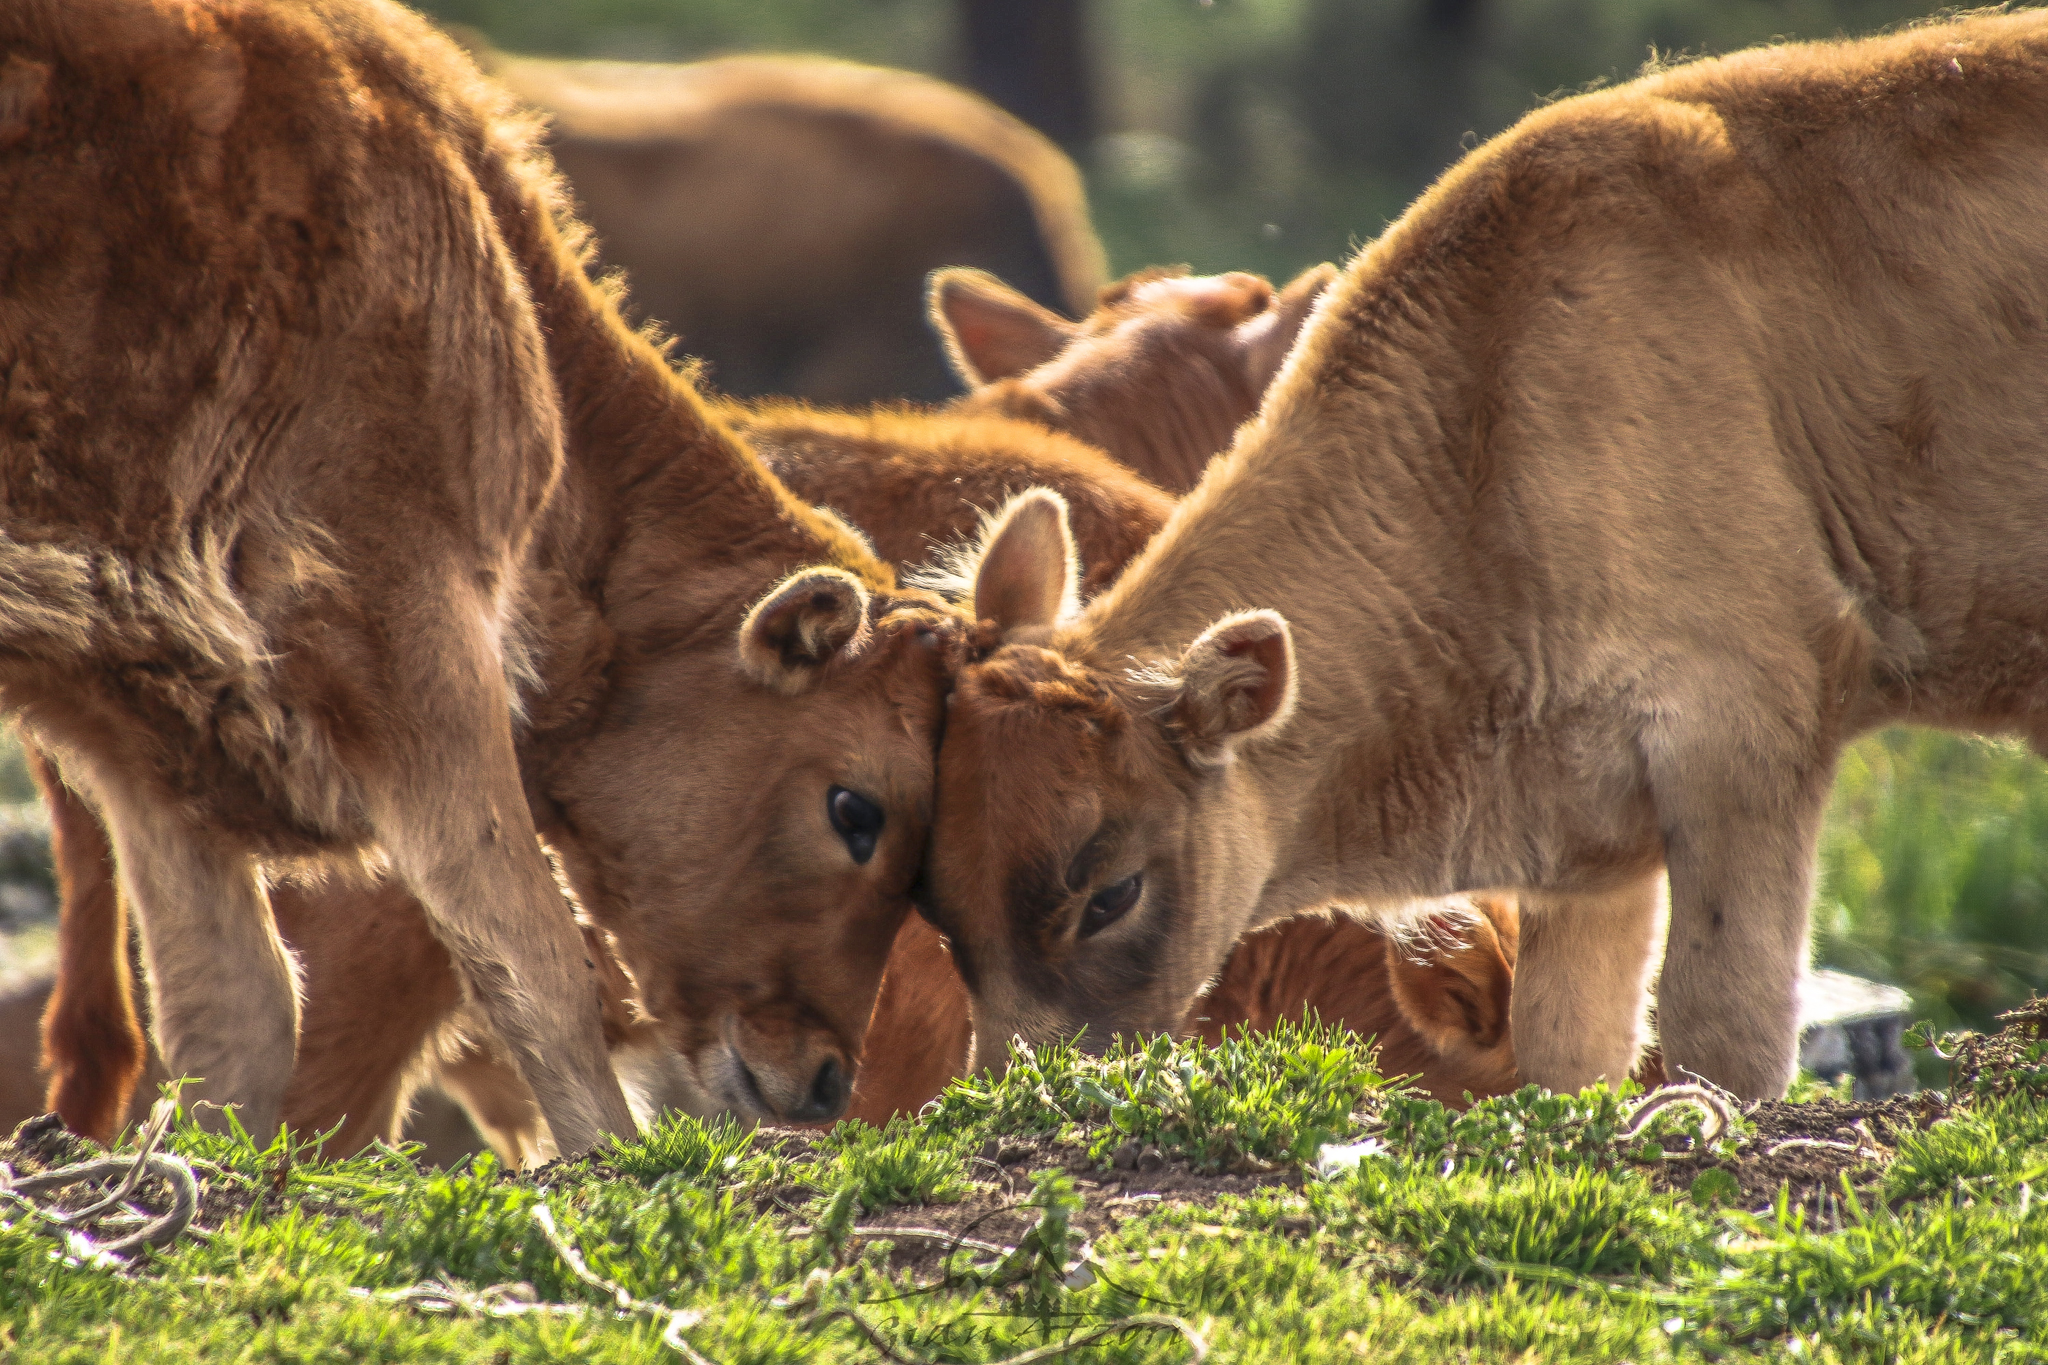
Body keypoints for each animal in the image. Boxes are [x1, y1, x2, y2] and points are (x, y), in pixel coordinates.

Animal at [914, 11, 2048, 1103]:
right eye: (932, 897)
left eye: (1111, 893)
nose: (1016, 1089)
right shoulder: (1592, 855)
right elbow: (1568, 1052)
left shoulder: (1746, 734)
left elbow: (1718, 1039)